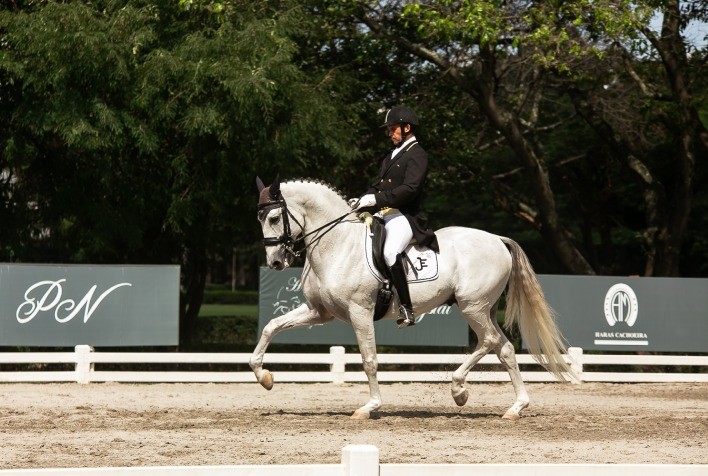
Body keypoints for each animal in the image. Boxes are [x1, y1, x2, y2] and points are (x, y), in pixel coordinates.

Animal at [251, 176, 577, 420]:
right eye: (260, 219)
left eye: (275, 217)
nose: (276, 262)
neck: (337, 245)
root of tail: (497, 239)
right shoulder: (319, 311)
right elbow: (271, 326)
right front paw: (264, 377)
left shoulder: (360, 312)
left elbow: (369, 360)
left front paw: (369, 407)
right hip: (483, 308)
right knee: (503, 348)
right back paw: (513, 407)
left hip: (473, 307)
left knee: (491, 342)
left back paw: (461, 391)